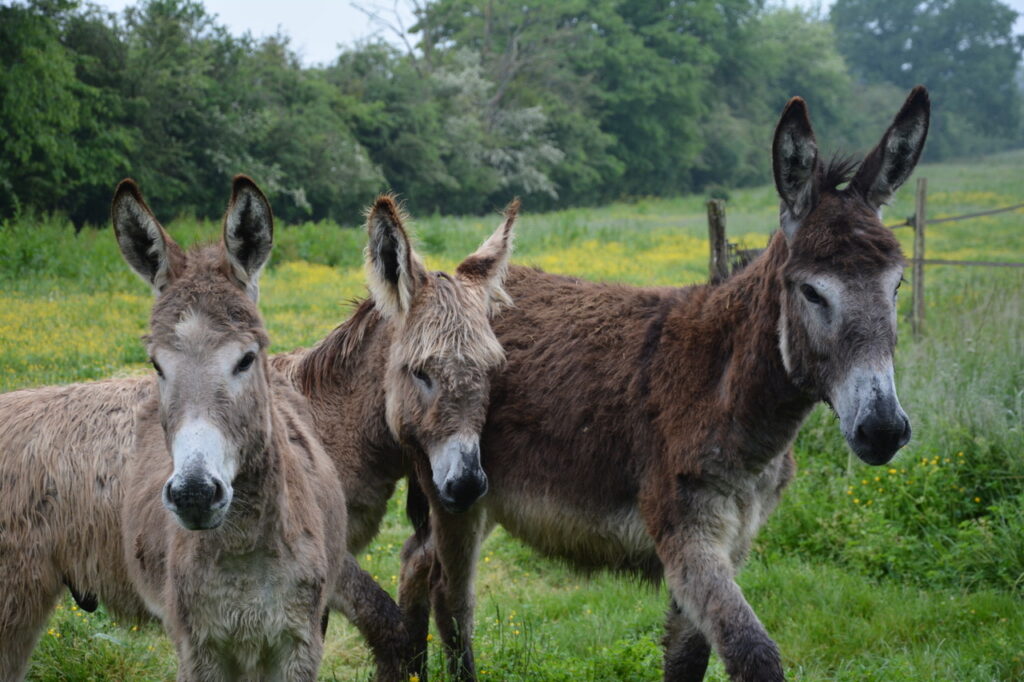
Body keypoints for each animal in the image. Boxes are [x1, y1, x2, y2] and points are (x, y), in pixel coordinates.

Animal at [0, 187, 517, 679]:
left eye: (494, 368)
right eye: (420, 372)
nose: (466, 485)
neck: (327, 416)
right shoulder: (333, 565)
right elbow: (387, 624)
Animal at [400, 86, 930, 682]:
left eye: (897, 284)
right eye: (812, 292)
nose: (883, 430)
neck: (723, 390)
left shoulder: (730, 541)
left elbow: (687, 657)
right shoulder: (686, 535)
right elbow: (753, 652)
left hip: (482, 495)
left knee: (415, 565)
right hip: (454, 492)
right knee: (451, 600)